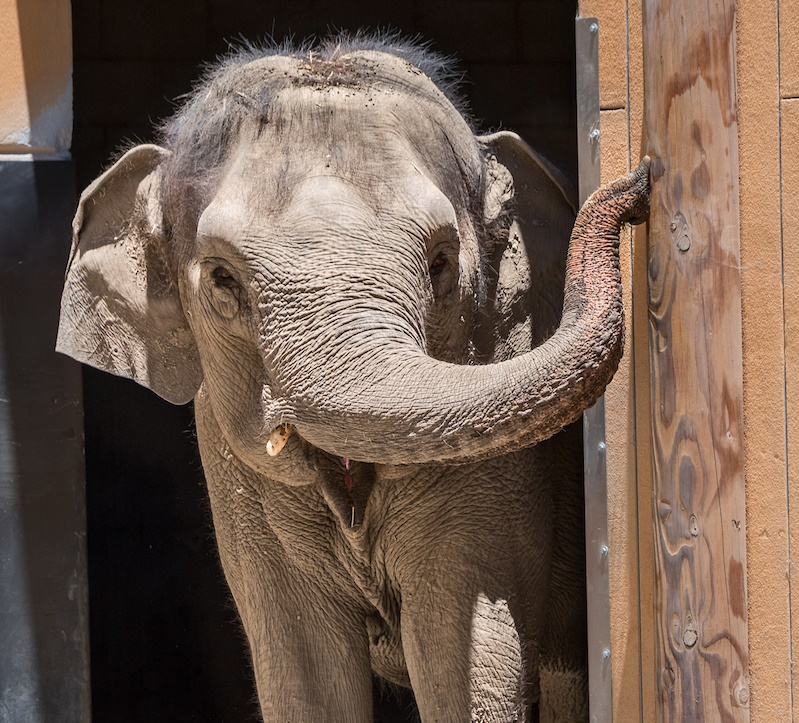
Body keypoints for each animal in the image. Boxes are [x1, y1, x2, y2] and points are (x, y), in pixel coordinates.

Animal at [57, 32, 648, 723]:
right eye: (223, 279)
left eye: (441, 262)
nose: (637, 183)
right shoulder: (236, 473)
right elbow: (305, 673)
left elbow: (470, 657)